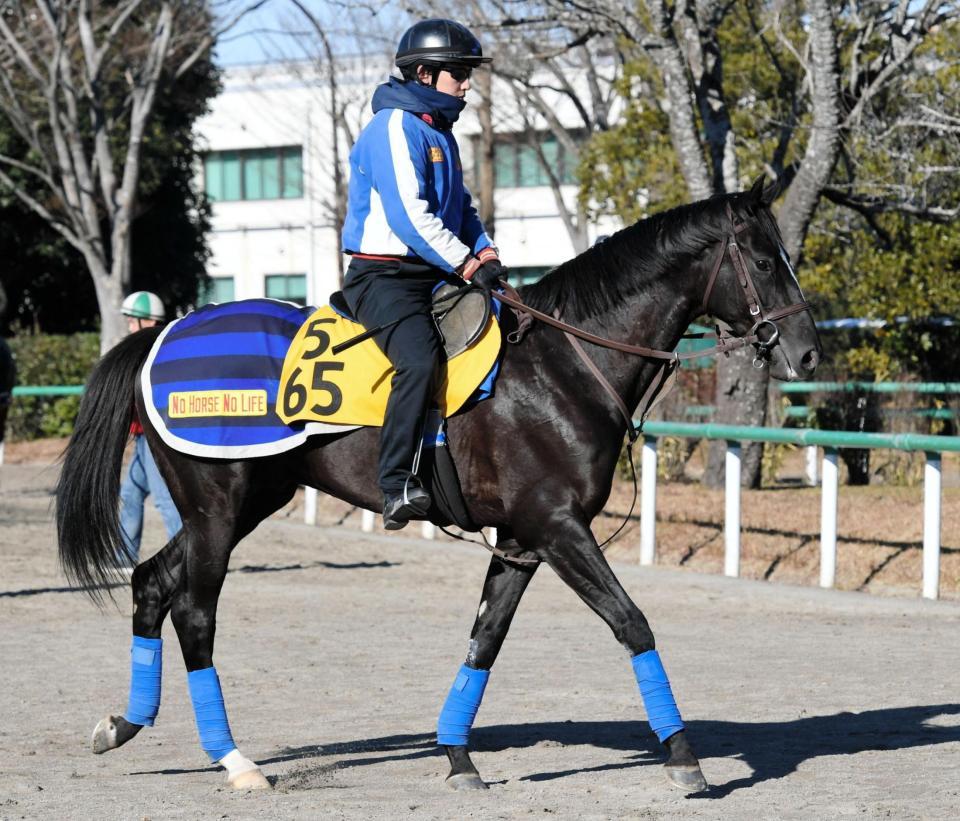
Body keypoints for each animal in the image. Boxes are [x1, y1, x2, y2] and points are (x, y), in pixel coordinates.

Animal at [54, 178, 816, 788]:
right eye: (762, 259)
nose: (807, 352)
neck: (563, 363)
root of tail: (163, 333)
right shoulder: (559, 527)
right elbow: (631, 622)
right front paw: (683, 755)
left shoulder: (522, 539)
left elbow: (485, 639)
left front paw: (457, 756)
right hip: (218, 509)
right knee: (193, 611)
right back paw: (235, 761)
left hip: (241, 505)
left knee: (152, 582)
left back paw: (124, 724)